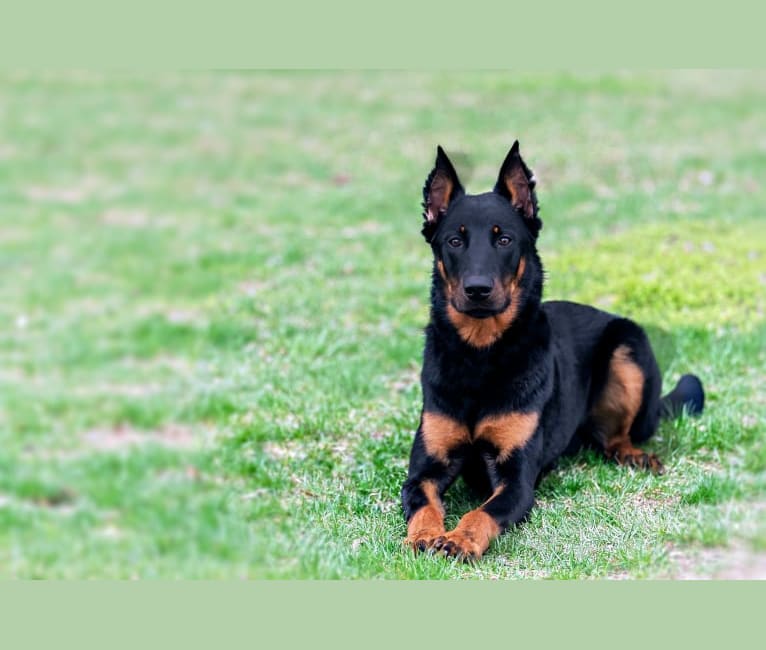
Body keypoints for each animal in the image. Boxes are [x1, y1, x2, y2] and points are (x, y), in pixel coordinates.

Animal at [402, 142, 708, 556]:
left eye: (504, 239)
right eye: (455, 240)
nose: (478, 289)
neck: (481, 355)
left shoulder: (516, 480)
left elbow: (481, 513)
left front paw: (460, 540)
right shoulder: (425, 470)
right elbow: (424, 505)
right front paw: (423, 536)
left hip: (627, 348)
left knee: (616, 439)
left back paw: (634, 455)